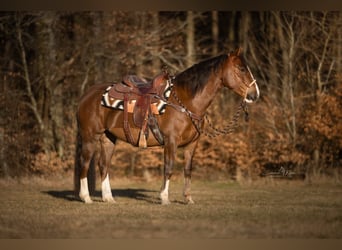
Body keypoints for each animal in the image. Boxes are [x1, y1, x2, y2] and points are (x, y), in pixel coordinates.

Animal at [73, 48, 260, 205]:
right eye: (241, 69)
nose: (255, 94)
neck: (186, 102)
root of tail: (86, 95)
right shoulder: (171, 141)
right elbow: (169, 168)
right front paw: (164, 198)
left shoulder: (192, 144)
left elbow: (187, 170)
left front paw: (188, 199)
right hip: (90, 136)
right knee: (85, 163)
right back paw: (86, 197)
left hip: (108, 138)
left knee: (103, 165)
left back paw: (108, 198)